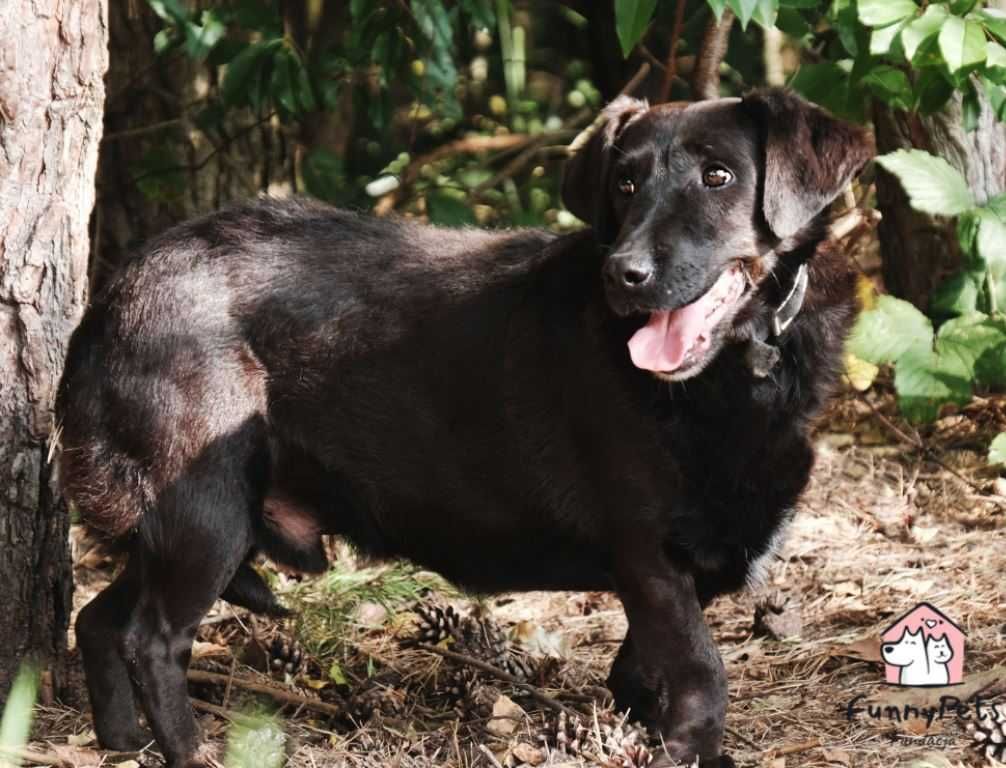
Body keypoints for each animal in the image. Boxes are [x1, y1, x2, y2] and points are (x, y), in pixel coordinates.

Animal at [58, 91, 869, 768]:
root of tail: (118, 289)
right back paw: (188, 754)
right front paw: (690, 747)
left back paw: (121, 743)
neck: (740, 370)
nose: (624, 274)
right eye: (625, 183)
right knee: (153, 640)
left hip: (178, 523)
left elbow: (642, 669)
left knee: (99, 621)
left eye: (719, 176)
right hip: (207, 513)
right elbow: (701, 672)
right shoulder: (648, 552)